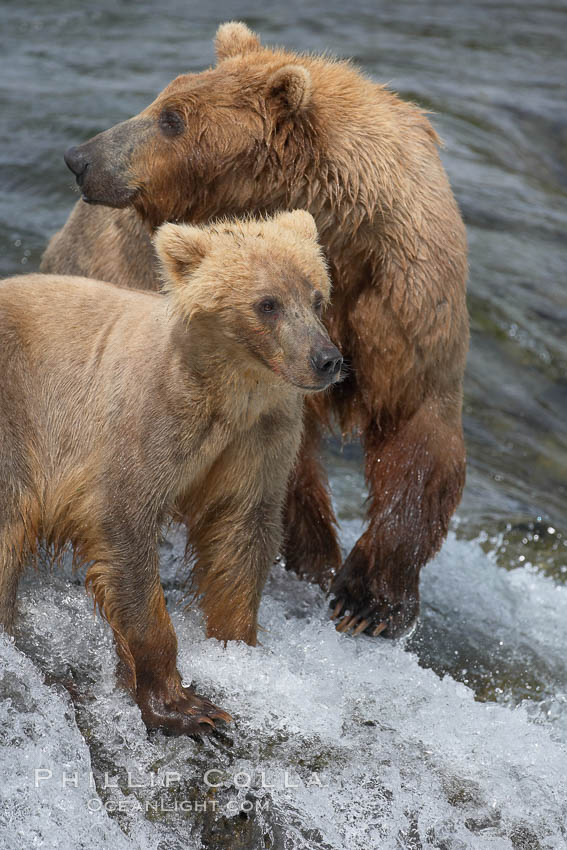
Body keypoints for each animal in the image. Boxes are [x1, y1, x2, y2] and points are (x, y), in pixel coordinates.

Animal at [1, 209, 342, 732]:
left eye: (317, 296)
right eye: (268, 303)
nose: (327, 360)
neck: (228, 390)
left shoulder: (259, 436)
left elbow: (241, 534)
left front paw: (237, 649)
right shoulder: (152, 417)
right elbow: (125, 525)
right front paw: (186, 706)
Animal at [38, 21, 466, 636]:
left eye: (172, 118)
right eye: (164, 101)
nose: (81, 158)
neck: (338, 232)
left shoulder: (404, 296)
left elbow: (418, 427)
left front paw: (368, 601)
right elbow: (279, 458)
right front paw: (317, 558)